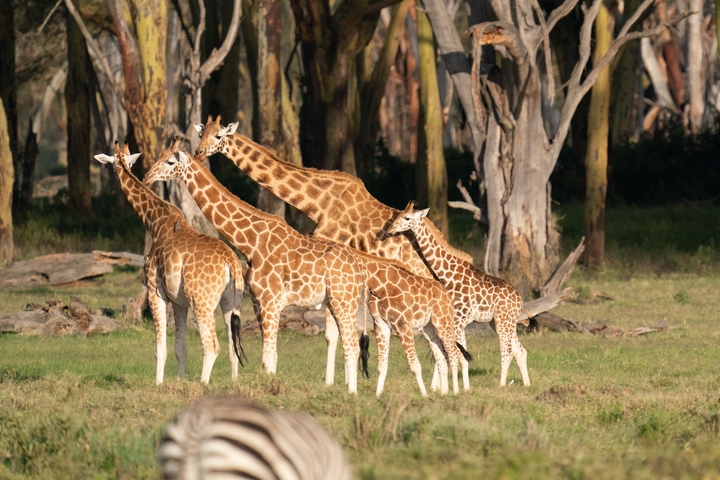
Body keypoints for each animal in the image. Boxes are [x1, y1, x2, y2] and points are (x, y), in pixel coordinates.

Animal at [94, 141, 245, 384]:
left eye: (115, 164)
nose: (144, 176)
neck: (155, 222)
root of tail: (230, 262)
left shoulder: (155, 291)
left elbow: (161, 348)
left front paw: (159, 384)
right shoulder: (179, 301)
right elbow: (180, 347)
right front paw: (180, 381)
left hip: (202, 302)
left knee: (212, 346)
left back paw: (203, 385)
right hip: (231, 302)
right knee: (233, 346)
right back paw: (233, 383)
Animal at [143, 146, 365, 393]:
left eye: (170, 162)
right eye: (160, 157)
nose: (147, 176)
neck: (250, 242)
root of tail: (358, 270)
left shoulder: (270, 302)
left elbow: (267, 358)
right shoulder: (259, 302)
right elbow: (270, 357)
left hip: (343, 301)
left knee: (352, 345)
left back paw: (352, 393)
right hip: (338, 302)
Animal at [388, 202, 531, 389]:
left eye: (407, 218)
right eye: (398, 215)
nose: (390, 229)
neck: (447, 276)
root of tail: (519, 299)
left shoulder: (458, 321)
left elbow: (452, 353)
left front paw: (445, 387)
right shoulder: (455, 322)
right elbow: (457, 354)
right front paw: (462, 387)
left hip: (503, 321)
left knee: (507, 352)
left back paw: (501, 384)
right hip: (501, 321)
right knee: (520, 350)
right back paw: (527, 384)